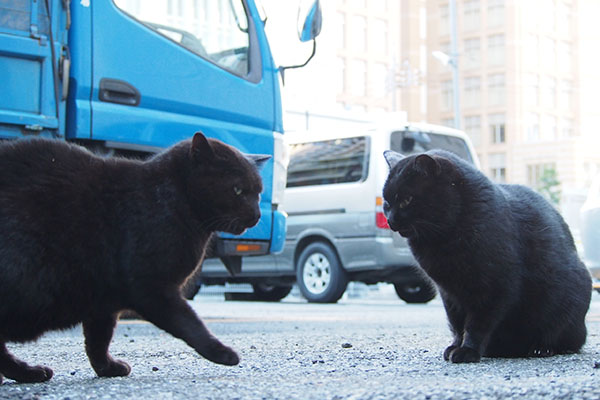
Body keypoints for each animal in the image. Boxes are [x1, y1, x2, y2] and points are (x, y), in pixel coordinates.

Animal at [0, 133, 268, 382]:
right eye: (238, 190)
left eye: (258, 193)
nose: (257, 214)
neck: (173, 200)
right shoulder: (151, 288)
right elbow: (190, 324)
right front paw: (221, 353)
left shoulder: (104, 299)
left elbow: (98, 339)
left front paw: (107, 368)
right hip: (33, 293)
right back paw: (28, 372)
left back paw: (27, 372)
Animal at [384, 149, 592, 362]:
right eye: (387, 203)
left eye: (406, 200)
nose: (390, 220)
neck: (442, 239)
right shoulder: (449, 293)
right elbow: (456, 324)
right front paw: (455, 346)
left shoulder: (493, 287)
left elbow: (476, 325)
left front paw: (467, 351)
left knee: (566, 339)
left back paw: (541, 348)